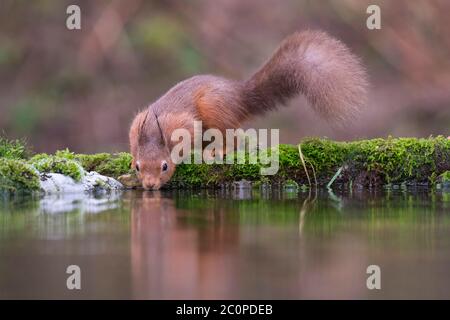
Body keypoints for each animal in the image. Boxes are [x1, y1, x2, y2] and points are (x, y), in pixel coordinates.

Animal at [128, 30, 368, 190]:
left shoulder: (183, 125)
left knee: (233, 138)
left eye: (165, 166)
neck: (152, 131)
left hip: (214, 109)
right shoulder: (136, 125)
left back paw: (219, 151)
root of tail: (240, 95)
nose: (149, 185)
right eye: (139, 167)